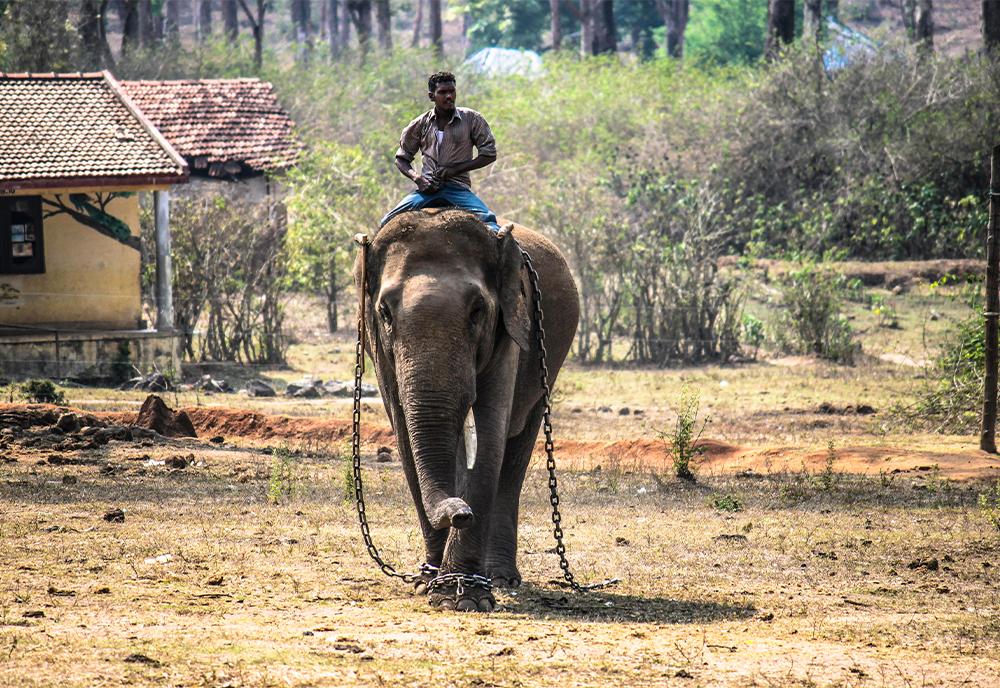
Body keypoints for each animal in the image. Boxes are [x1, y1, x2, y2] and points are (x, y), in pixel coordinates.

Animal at [356, 207, 584, 612]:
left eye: (478, 311)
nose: (460, 513)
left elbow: (490, 432)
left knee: (516, 448)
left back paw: (501, 577)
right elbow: (404, 431)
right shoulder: (380, 351)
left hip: (549, 361)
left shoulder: (511, 332)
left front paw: (463, 598)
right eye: (384, 313)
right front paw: (428, 584)